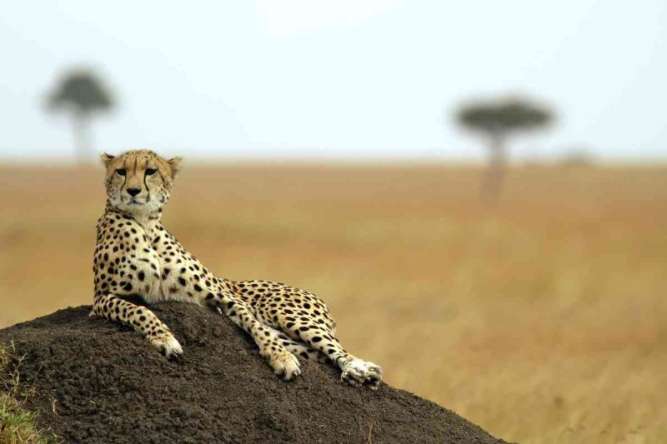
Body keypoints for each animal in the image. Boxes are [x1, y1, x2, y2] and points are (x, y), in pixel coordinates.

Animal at [90, 149, 382, 388]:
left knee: (334, 347)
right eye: (121, 171)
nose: (133, 191)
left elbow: (256, 327)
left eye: (150, 171)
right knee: (317, 353)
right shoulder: (101, 299)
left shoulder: (223, 297)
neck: (145, 224)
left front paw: (281, 359)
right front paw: (165, 340)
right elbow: (139, 310)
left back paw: (358, 369)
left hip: (289, 315)